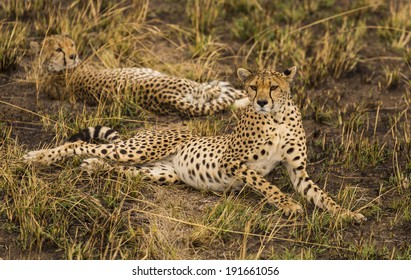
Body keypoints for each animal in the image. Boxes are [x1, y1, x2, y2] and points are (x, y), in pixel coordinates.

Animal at [24, 66, 366, 223]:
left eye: (274, 87)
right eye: (252, 87)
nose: (262, 101)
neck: (278, 117)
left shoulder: (297, 171)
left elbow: (321, 196)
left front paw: (348, 214)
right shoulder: (234, 162)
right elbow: (265, 183)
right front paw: (287, 204)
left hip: (160, 171)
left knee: (111, 165)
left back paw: (92, 166)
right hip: (141, 149)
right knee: (79, 147)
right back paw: (38, 156)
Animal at [30, 34, 249, 116]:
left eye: (72, 44)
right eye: (58, 49)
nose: (73, 55)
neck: (53, 71)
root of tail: (165, 97)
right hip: (195, 87)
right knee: (224, 93)